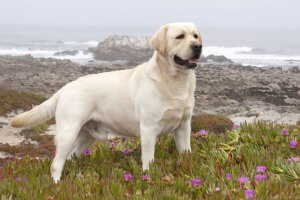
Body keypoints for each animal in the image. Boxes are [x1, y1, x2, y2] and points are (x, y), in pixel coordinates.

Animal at [11, 22, 204, 183]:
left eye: (195, 35)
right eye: (180, 36)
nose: (198, 46)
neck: (175, 81)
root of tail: (64, 88)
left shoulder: (183, 126)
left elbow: (186, 152)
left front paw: (189, 167)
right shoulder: (149, 129)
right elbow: (148, 159)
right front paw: (148, 176)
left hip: (86, 136)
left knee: (72, 157)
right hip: (68, 131)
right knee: (56, 163)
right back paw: (56, 185)